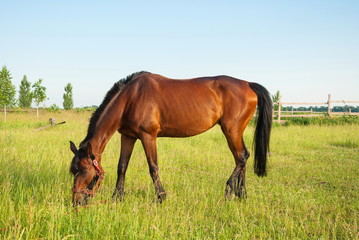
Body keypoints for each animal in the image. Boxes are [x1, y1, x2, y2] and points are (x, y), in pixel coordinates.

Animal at [69, 71, 272, 204]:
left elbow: (153, 167)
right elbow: (122, 166)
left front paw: (161, 197)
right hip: (235, 131)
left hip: (231, 130)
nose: (76, 201)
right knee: (242, 157)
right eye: (73, 170)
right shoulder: (128, 136)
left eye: (85, 170)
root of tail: (248, 83)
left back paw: (230, 190)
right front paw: (117, 197)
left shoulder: (148, 136)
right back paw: (242, 194)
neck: (130, 98)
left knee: (241, 157)